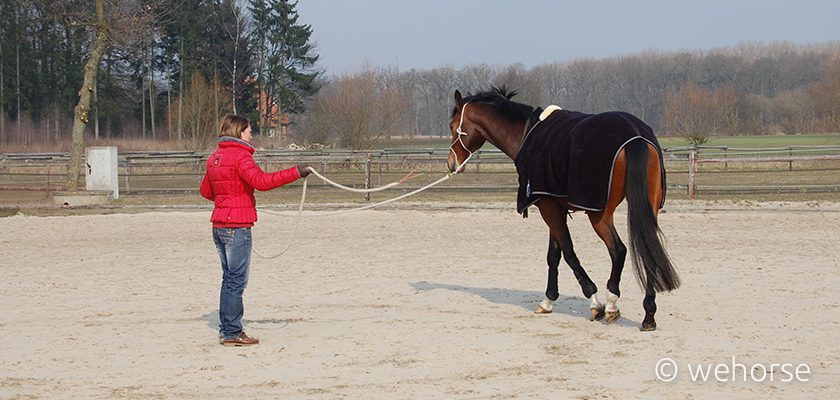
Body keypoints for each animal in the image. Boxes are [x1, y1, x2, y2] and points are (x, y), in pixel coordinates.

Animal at [450, 87, 680, 332]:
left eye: (453, 126)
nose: (451, 164)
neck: (528, 133)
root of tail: (635, 137)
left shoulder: (547, 208)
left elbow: (568, 252)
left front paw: (595, 303)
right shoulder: (552, 206)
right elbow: (554, 255)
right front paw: (548, 300)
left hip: (599, 215)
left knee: (618, 251)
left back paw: (611, 305)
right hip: (648, 208)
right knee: (649, 250)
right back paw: (649, 315)